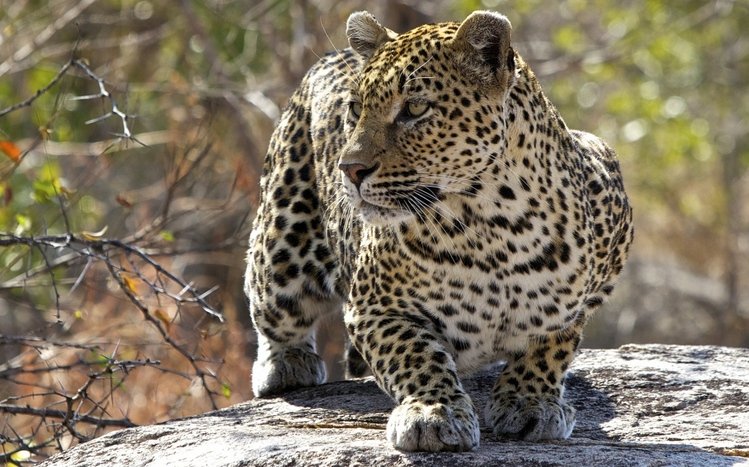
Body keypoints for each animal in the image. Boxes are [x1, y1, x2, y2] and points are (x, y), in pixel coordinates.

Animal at [245, 10, 633, 452]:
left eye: (415, 108)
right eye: (355, 109)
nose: (350, 169)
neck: (494, 226)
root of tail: (333, 54)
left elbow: (552, 344)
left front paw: (530, 401)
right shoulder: (375, 308)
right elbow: (415, 355)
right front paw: (434, 413)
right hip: (281, 245)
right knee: (274, 307)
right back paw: (286, 365)